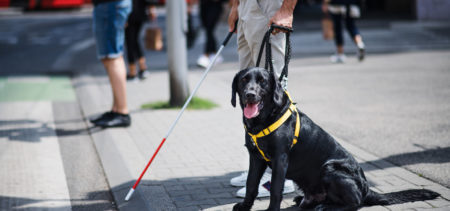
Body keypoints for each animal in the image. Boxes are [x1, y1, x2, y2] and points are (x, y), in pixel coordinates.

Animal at [232, 67, 440, 209]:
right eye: (244, 80)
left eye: (262, 81)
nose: (250, 94)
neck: (263, 120)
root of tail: (366, 189)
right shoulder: (255, 158)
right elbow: (251, 184)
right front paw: (244, 207)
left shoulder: (280, 159)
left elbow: (276, 189)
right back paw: (306, 201)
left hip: (330, 168)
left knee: (355, 203)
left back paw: (326, 206)